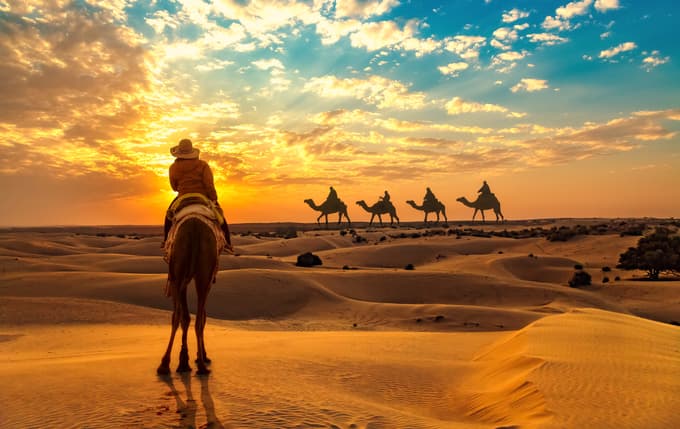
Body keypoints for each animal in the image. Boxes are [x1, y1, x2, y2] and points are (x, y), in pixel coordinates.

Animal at [157, 217, 217, 376]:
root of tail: (194, 228)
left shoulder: (178, 281)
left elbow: (183, 317)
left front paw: (183, 361)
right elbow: (195, 317)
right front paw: (188, 360)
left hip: (178, 274)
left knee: (177, 316)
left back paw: (165, 364)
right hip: (203, 274)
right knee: (198, 318)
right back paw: (201, 365)